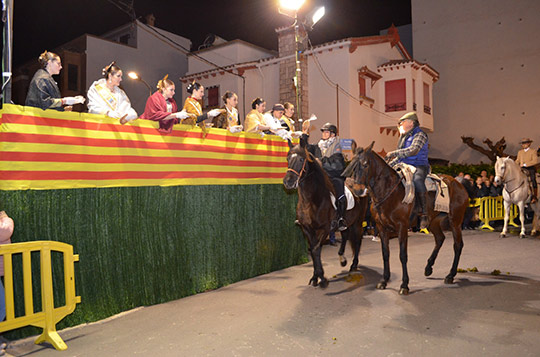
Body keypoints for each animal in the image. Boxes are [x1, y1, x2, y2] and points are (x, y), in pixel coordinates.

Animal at [282, 136, 368, 286]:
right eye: (287, 158)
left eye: (301, 159)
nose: (288, 182)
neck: (311, 201)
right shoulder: (307, 229)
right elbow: (313, 250)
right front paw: (315, 277)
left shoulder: (324, 228)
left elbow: (316, 249)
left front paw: (321, 277)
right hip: (345, 223)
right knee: (345, 236)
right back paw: (342, 259)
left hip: (358, 222)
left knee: (357, 240)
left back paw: (353, 265)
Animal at [344, 142, 470, 294]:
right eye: (352, 164)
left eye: (365, 164)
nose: (357, 189)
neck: (389, 192)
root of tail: (459, 183)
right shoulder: (381, 228)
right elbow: (385, 254)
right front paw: (384, 280)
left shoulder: (402, 227)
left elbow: (403, 255)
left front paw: (404, 285)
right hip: (433, 221)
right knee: (440, 239)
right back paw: (428, 268)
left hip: (455, 221)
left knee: (458, 245)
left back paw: (450, 275)